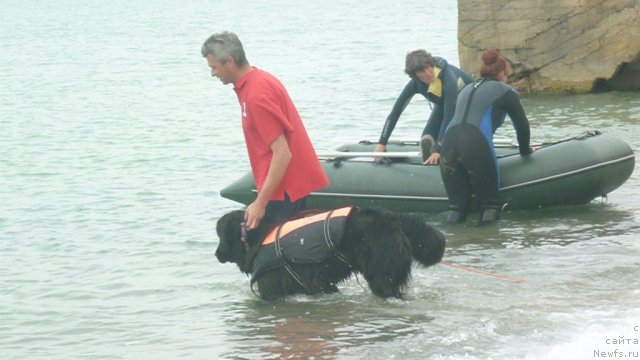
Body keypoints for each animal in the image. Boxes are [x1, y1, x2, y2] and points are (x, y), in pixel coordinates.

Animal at [215, 205, 444, 300]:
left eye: (220, 235)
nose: (216, 254)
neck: (259, 237)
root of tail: (393, 218)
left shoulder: (272, 288)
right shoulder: (320, 284)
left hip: (382, 272)